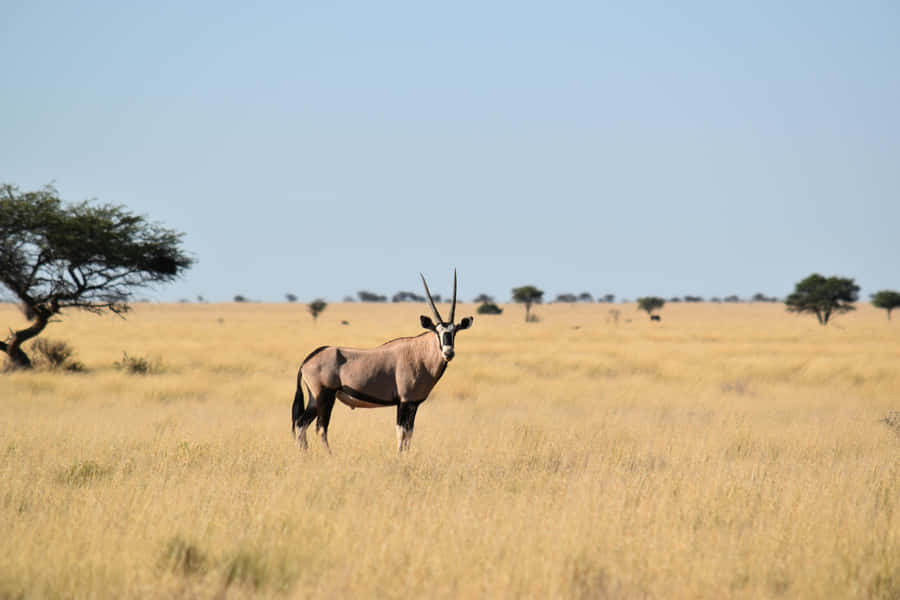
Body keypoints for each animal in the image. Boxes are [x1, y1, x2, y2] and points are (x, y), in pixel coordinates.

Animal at [292, 271, 473, 453]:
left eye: (455, 331)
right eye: (437, 331)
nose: (448, 352)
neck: (420, 354)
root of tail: (308, 360)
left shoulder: (414, 404)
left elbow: (409, 433)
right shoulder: (403, 401)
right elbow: (401, 432)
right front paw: (399, 457)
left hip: (314, 399)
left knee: (301, 424)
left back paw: (304, 454)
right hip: (325, 396)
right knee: (320, 428)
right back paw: (329, 455)